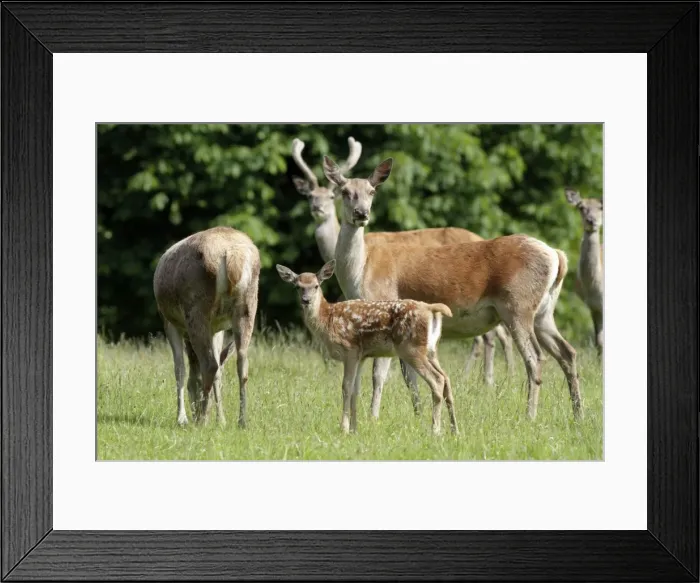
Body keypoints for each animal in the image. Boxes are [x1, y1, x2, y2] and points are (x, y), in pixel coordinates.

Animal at [153, 226, 260, 427]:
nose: (195, 411)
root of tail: (232, 255)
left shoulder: (169, 322)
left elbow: (180, 369)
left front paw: (182, 418)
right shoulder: (217, 327)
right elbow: (219, 372)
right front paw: (221, 420)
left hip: (197, 307)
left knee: (209, 365)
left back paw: (201, 421)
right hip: (248, 305)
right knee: (241, 363)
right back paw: (241, 421)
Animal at [276, 259, 458, 435]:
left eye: (316, 285)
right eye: (298, 286)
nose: (306, 300)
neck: (327, 320)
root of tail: (430, 309)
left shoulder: (350, 350)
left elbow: (346, 387)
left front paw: (344, 428)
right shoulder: (361, 356)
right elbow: (356, 390)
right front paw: (354, 429)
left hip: (412, 349)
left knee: (437, 380)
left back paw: (435, 430)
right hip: (431, 350)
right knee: (447, 378)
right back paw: (454, 430)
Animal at [322, 155, 582, 421]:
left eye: (372, 191)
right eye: (345, 192)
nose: (361, 213)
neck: (360, 271)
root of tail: (557, 255)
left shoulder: (384, 303)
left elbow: (379, 374)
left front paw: (374, 417)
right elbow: (409, 377)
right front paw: (417, 414)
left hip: (518, 306)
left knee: (535, 358)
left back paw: (530, 415)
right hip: (544, 311)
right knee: (567, 352)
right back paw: (577, 414)